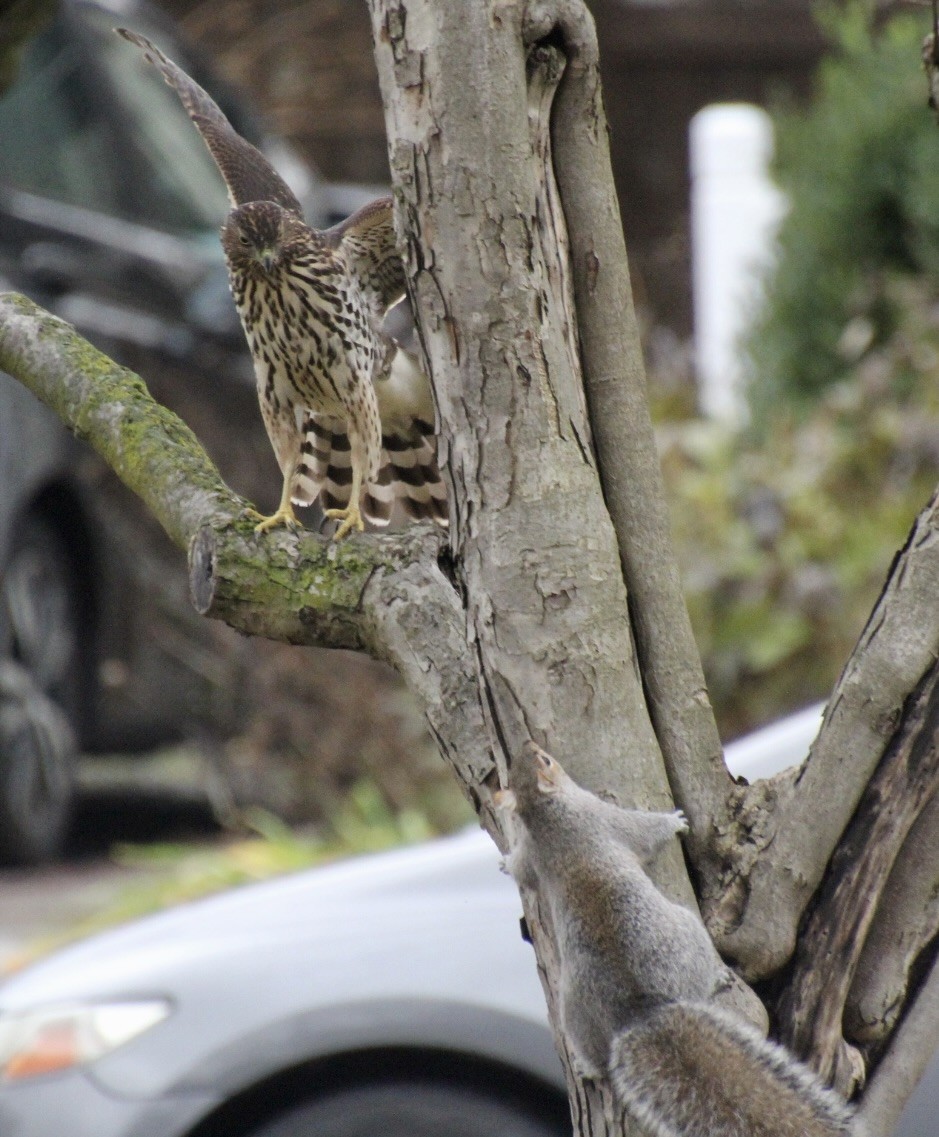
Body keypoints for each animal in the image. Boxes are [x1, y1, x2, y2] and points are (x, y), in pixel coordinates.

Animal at [500, 741, 850, 1132]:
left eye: (530, 762)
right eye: (546, 761)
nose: (530, 744)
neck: (545, 814)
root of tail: (639, 1012)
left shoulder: (534, 853)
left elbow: (522, 871)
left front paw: (504, 863)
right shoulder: (603, 818)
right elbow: (644, 832)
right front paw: (674, 822)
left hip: (574, 1012)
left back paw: (586, 1066)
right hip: (687, 928)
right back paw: (717, 976)